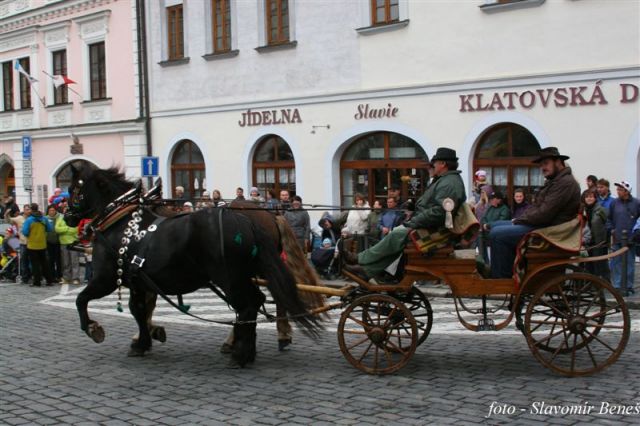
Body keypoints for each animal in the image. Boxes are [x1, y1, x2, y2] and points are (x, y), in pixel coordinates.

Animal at [63, 166, 318, 366]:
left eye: (73, 189)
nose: (67, 217)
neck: (121, 220)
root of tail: (252, 219)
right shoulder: (137, 281)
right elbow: (138, 309)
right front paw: (143, 341)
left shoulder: (104, 279)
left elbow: (81, 300)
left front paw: (93, 328)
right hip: (245, 275)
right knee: (258, 302)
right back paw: (249, 347)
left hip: (230, 277)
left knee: (249, 305)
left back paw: (241, 353)